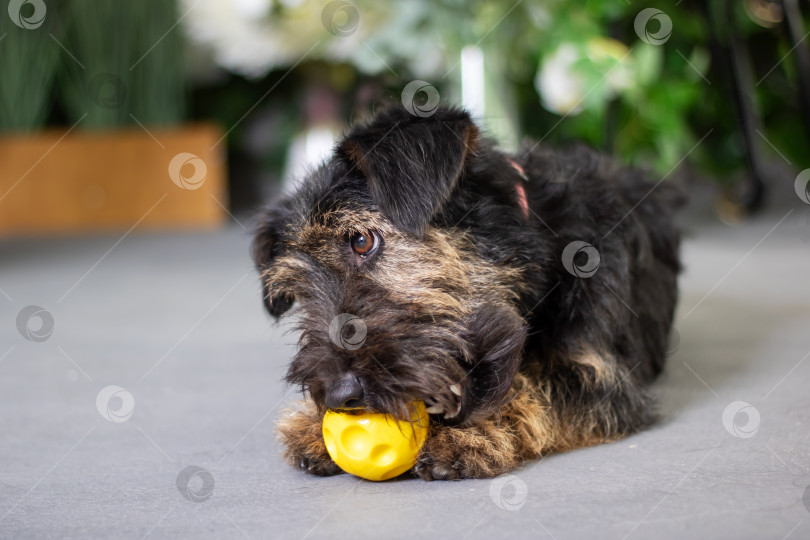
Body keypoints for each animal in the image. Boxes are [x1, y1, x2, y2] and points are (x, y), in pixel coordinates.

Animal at [252, 104, 680, 480]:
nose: (339, 397)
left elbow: (536, 387)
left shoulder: (603, 379)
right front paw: (310, 423)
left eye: (361, 240)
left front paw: (472, 434)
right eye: (299, 292)